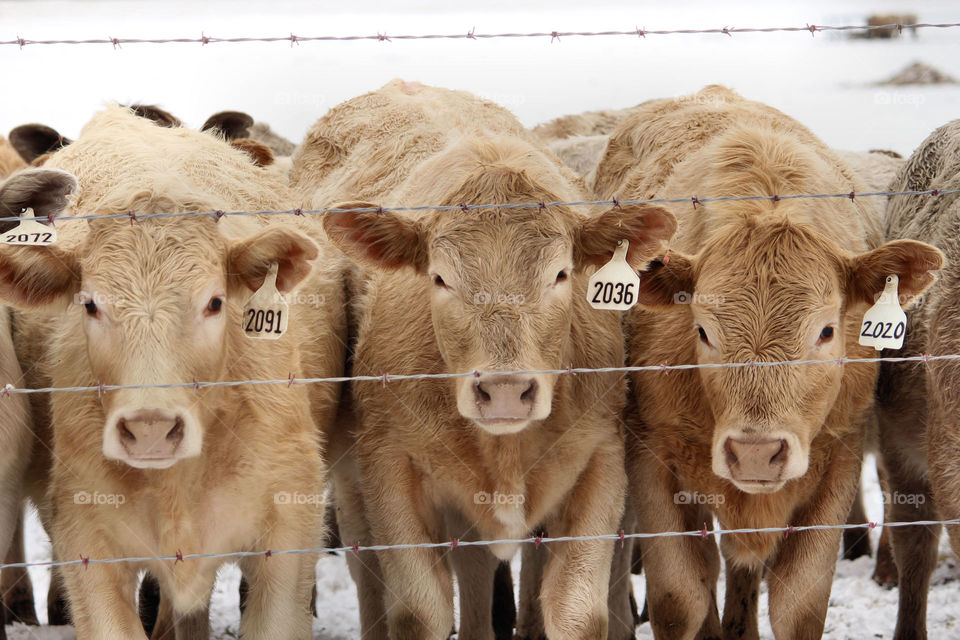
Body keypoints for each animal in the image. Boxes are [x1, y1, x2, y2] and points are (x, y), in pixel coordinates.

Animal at [292, 79, 677, 640]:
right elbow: (417, 611)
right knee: (373, 573)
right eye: (440, 277)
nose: (504, 392)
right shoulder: (389, 466)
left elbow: (577, 609)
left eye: (561, 274)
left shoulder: (600, 459)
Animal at [591, 85, 942, 639]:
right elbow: (680, 598)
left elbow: (800, 604)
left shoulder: (837, 461)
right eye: (702, 330)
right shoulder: (653, 461)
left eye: (826, 330)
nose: (756, 454)